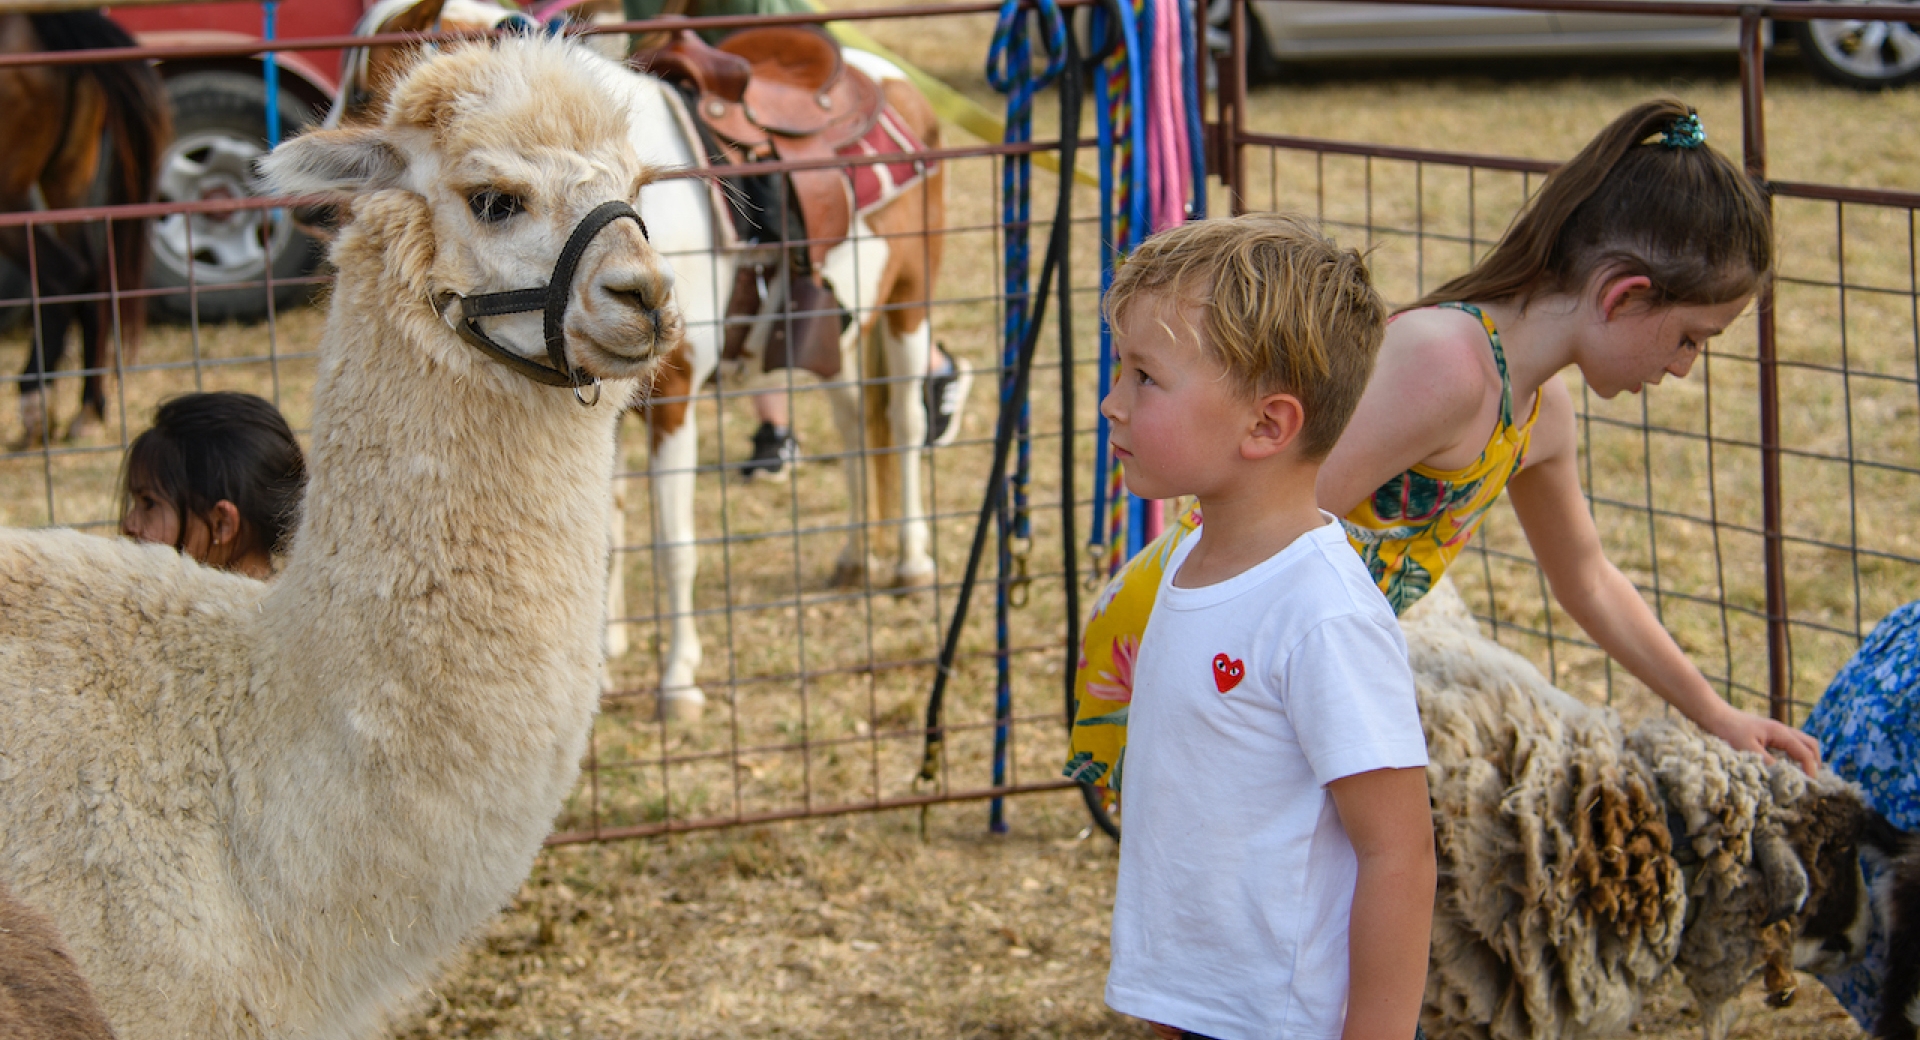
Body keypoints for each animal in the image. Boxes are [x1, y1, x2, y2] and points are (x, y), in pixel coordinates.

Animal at [0, 11, 168, 452]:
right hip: (68, 179)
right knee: (92, 275)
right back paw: (88, 407)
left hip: (12, 195)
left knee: (64, 273)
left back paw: (36, 401)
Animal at [339, 0, 952, 717]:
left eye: (367, 96)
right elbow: (604, 528)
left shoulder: (675, 395)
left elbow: (672, 545)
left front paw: (678, 679)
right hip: (839, 334)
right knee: (857, 428)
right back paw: (855, 557)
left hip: (910, 302)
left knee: (905, 424)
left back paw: (911, 564)